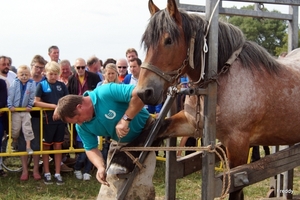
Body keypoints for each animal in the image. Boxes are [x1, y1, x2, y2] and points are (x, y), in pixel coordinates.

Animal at [134, 0, 300, 199]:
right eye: (147, 42)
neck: (223, 79)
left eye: (168, 40)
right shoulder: (189, 123)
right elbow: (154, 129)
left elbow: (235, 188)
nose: (144, 92)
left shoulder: (238, 146)